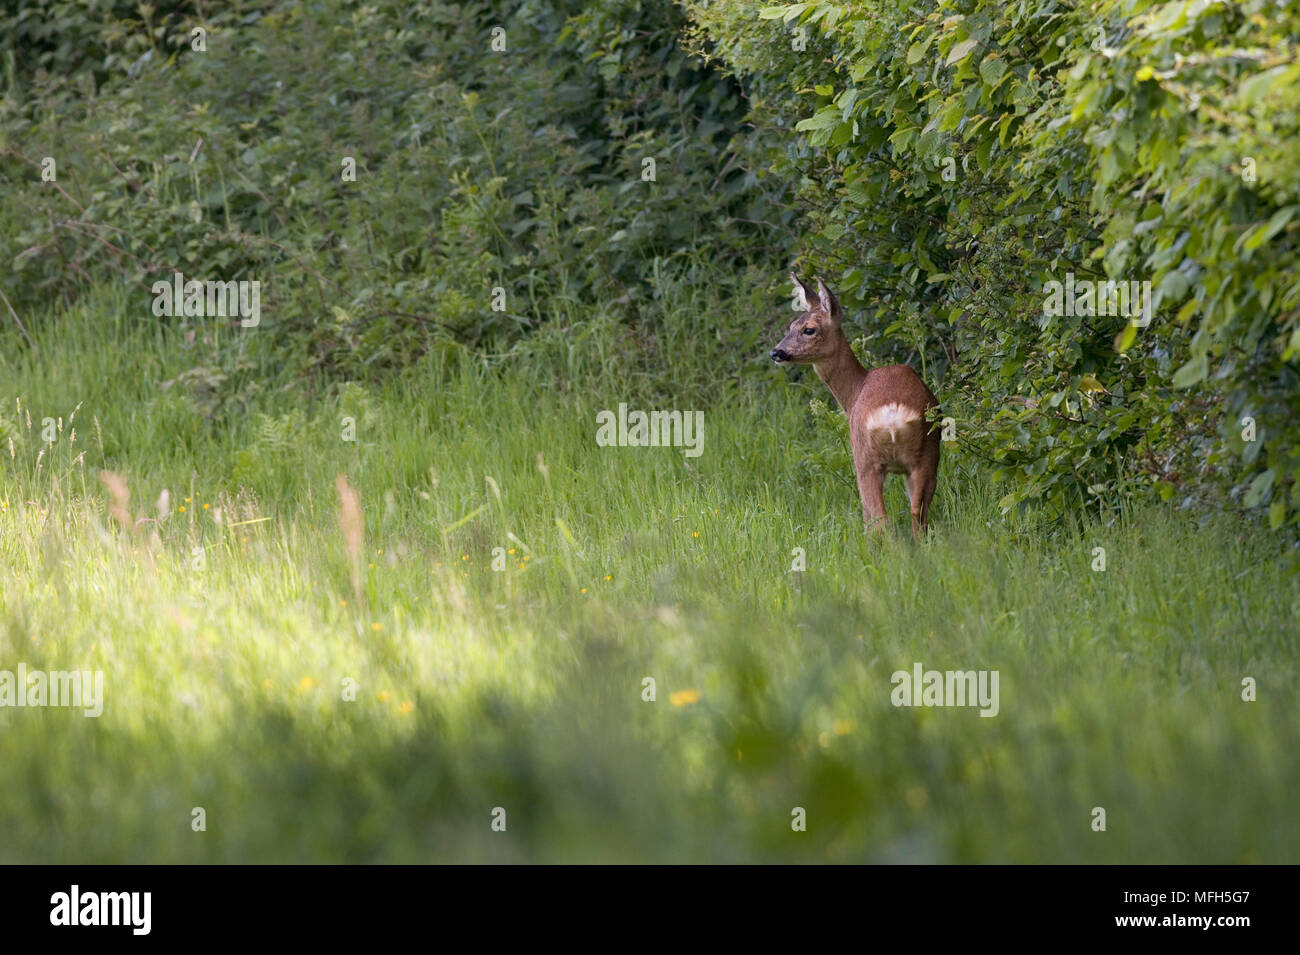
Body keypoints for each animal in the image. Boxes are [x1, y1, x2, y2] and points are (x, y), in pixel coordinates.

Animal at [770, 274, 941, 540]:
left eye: (809, 329)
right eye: (791, 326)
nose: (776, 352)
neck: (853, 393)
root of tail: (893, 417)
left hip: (866, 459)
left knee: (880, 520)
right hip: (928, 454)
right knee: (917, 513)